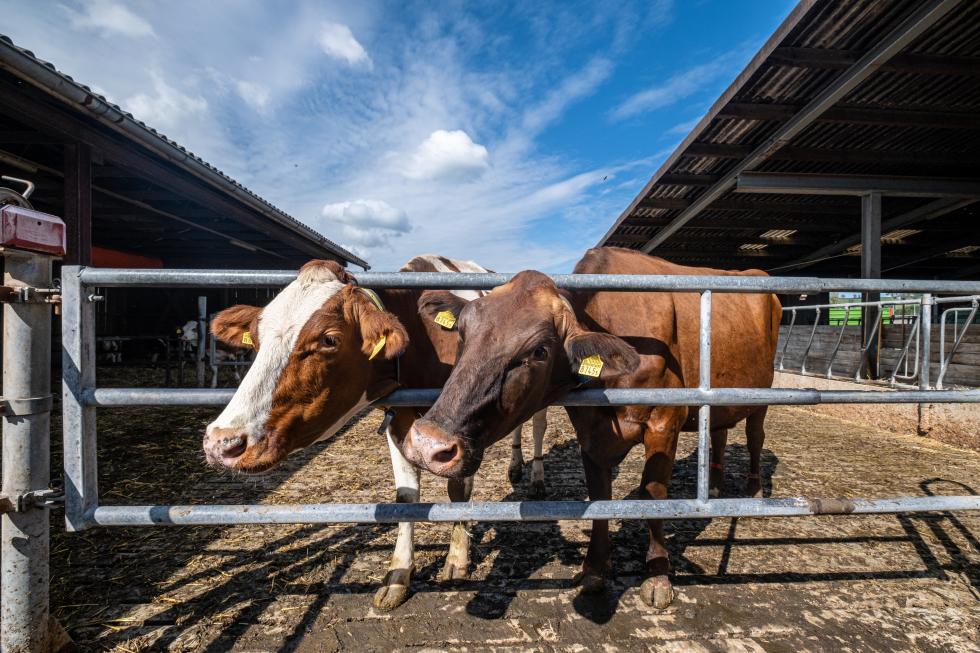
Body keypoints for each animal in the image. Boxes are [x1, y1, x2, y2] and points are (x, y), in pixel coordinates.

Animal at [201, 255, 548, 610]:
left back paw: (535, 476)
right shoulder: (399, 421)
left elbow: (458, 489)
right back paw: (515, 467)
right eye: (256, 337)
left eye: (328, 339)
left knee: (537, 426)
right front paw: (398, 576)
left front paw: (457, 559)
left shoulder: (464, 427)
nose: (222, 442)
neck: (423, 338)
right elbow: (405, 498)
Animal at [402, 247, 781, 609]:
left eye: (540, 351)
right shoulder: (589, 431)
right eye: (463, 332)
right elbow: (600, 496)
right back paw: (714, 486)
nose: (427, 443)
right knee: (719, 433)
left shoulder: (665, 421)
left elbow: (654, 494)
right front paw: (594, 571)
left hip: (762, 393)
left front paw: (657, 575)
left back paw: (755, 491)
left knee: (755, 437)